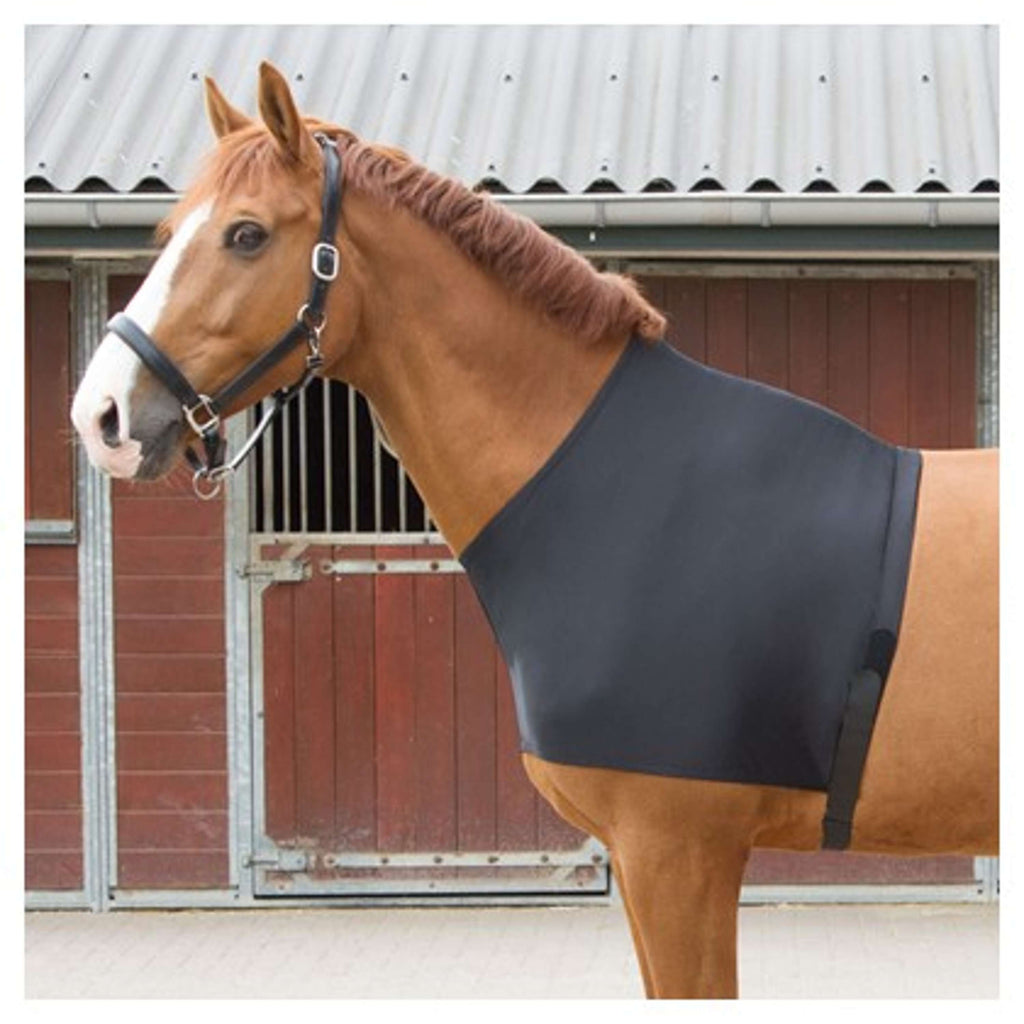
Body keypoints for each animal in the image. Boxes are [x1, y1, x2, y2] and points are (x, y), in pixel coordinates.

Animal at [70, 62, 998, 998]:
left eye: (247, 235)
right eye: (168, 230)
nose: (102, 415)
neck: (628, 493)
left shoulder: (677, 853)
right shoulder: (652, 860)